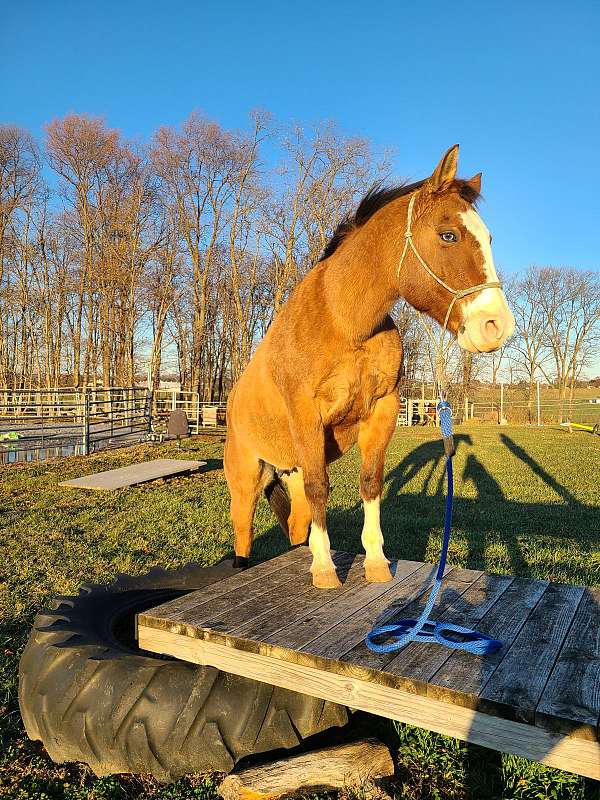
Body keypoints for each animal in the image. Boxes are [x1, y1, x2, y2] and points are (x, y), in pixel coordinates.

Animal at [225, 145, 516, 588]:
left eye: (489, 238)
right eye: (448, 235)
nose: (495, 325)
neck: (343, 322)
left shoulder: (383, 410)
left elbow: (370, 483)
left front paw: (376, 561)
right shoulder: (307, 416)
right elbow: (321, 486)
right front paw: (326, 570)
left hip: (288, 473)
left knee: (296, 523)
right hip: (246, 480)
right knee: (243, 535)